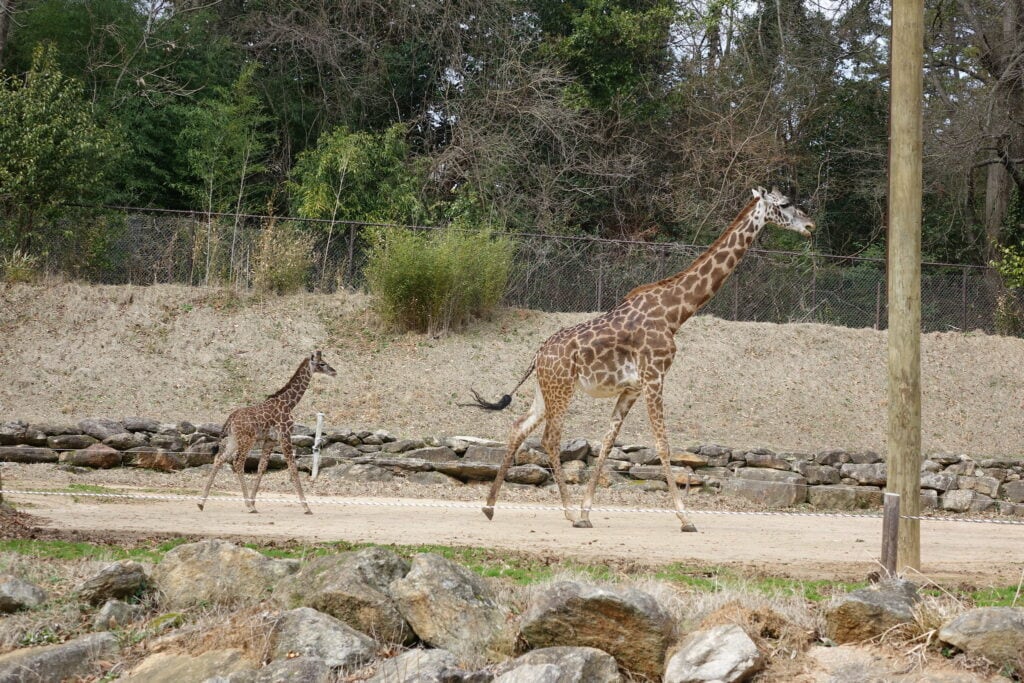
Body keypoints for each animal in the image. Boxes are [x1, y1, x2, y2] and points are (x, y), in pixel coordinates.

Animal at [200, 352, 339, 511]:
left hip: (234, 439)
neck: (289, 403)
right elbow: (293, 468)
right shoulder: (285, 435)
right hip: (247, 439)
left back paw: (201, 503)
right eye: (322, 363)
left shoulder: (270, 440)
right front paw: (306, 507)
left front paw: (254, 500)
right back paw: (248, 506)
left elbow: (262, 467)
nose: (334, 372)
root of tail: (231, 418)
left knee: (219, 459)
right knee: (238, 462)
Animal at [466, 188, 815, 532]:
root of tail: (538, 354)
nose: (810, 225)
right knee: (550, 439)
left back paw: (490, 507)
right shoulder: (654, 376)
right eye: (785, 204)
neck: (675, 314)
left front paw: (587, 512)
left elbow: (608, 442)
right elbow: (662, 444)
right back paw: (565, 512)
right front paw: (685, 518)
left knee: (518, 427)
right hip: (563, 388)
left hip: (545, 391)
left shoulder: (632, 388)